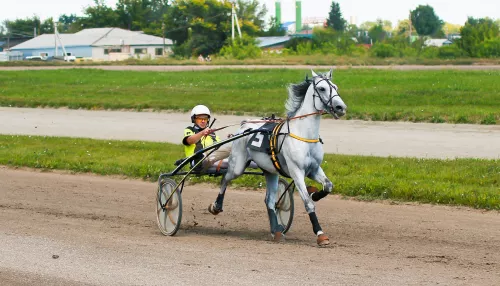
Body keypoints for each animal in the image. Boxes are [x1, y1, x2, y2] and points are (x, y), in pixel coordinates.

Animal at [209, 69, 346, 246]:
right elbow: (308, 203)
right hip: (237, 165)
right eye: (322, 88)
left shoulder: (314, 169)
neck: (303, 134)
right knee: (225, 178)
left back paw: (277, 230)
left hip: (270, 172)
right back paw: (216, 206)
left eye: (335, 87)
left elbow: (328, 186)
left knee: (269, 201)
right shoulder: (296, 171)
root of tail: (243, 127)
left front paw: (315, 194)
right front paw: (320, 234)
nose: (341, 107)